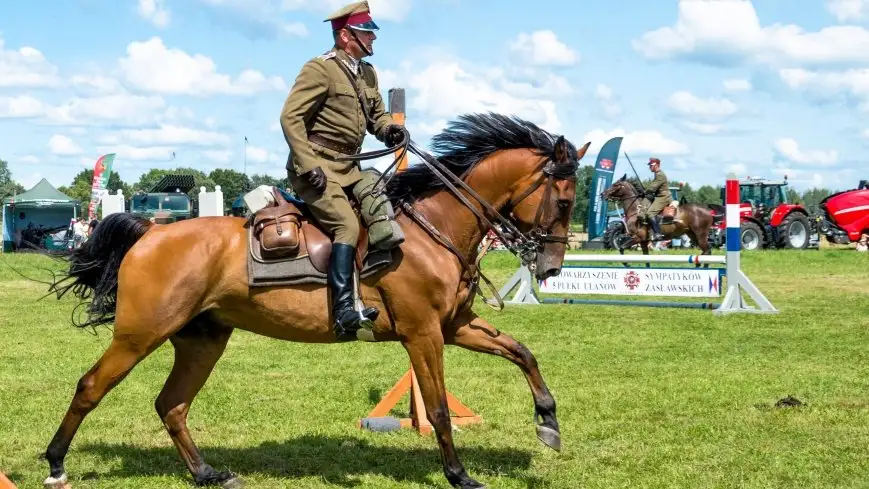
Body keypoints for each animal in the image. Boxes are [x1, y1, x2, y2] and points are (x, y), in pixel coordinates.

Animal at [44, 111, 592, 488]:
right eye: (565, 201)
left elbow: (522, 353)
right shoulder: (424, 334)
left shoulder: (456, 326)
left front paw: (548, 422)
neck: (433, 225)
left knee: (172, 405)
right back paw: (55, 464)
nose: (550, 267)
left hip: (202, 341)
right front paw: (458, 475)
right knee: (91, 387)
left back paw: (206, 473)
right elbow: (436, 408)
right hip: (140, 335)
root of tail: (151, 233)